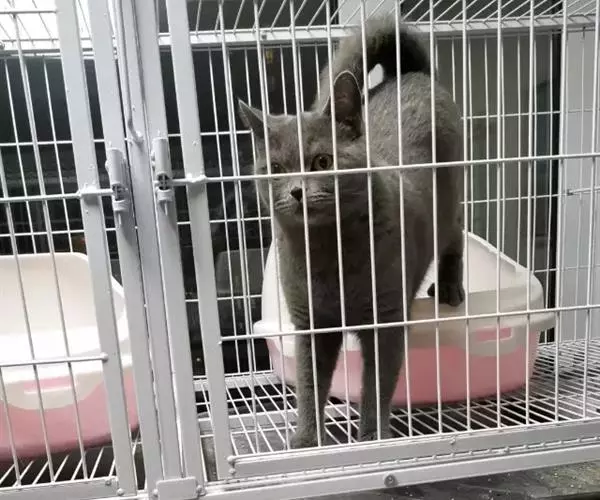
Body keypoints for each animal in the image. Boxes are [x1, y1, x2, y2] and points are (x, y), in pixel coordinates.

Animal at [239, 16, 465, 448]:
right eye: (275, 169)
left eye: (322, 161)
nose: (296, 191)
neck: (329, 252)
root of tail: (408, 73)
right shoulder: (310, 324)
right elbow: (309, 383)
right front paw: (307, 438)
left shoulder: (386, 318)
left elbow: (377, 383)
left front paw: (373, 434)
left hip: (451, 201)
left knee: (455, 237)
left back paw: (449, 289)